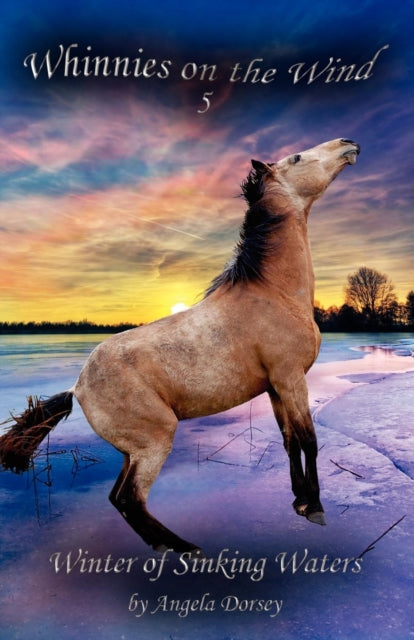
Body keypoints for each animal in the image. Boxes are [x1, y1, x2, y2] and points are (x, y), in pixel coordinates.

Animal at [0, 138, 360, 554]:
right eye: (297, 157)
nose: (348, 144)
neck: (277, 293)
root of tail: (77, 388)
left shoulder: (276, 387)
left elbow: (289, 442)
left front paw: (300, 501)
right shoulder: (291, 378)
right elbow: (310, 440)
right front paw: (315, 508)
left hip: (133, 451)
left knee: (118, 497)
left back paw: (165, 546)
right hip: (154, 442)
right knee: (130, 498)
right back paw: (184, 548)